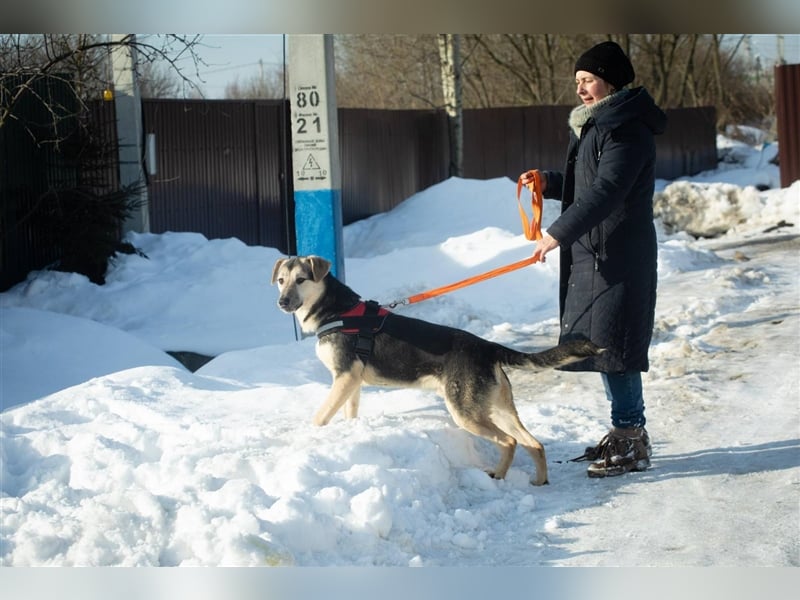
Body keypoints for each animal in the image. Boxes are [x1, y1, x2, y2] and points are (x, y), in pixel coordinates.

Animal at [272, 255, 604, 486]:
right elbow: (348, 414)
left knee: (509, 442)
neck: (336, 311)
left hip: (465, 412)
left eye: (301, 279)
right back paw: (539, 480)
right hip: (498, 409)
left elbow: (320, 417)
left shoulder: (344, 378)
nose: (282, 302)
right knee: (534, 443)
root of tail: (487, 346)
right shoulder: (352, 382)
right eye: (281, 280)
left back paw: (497, 477)